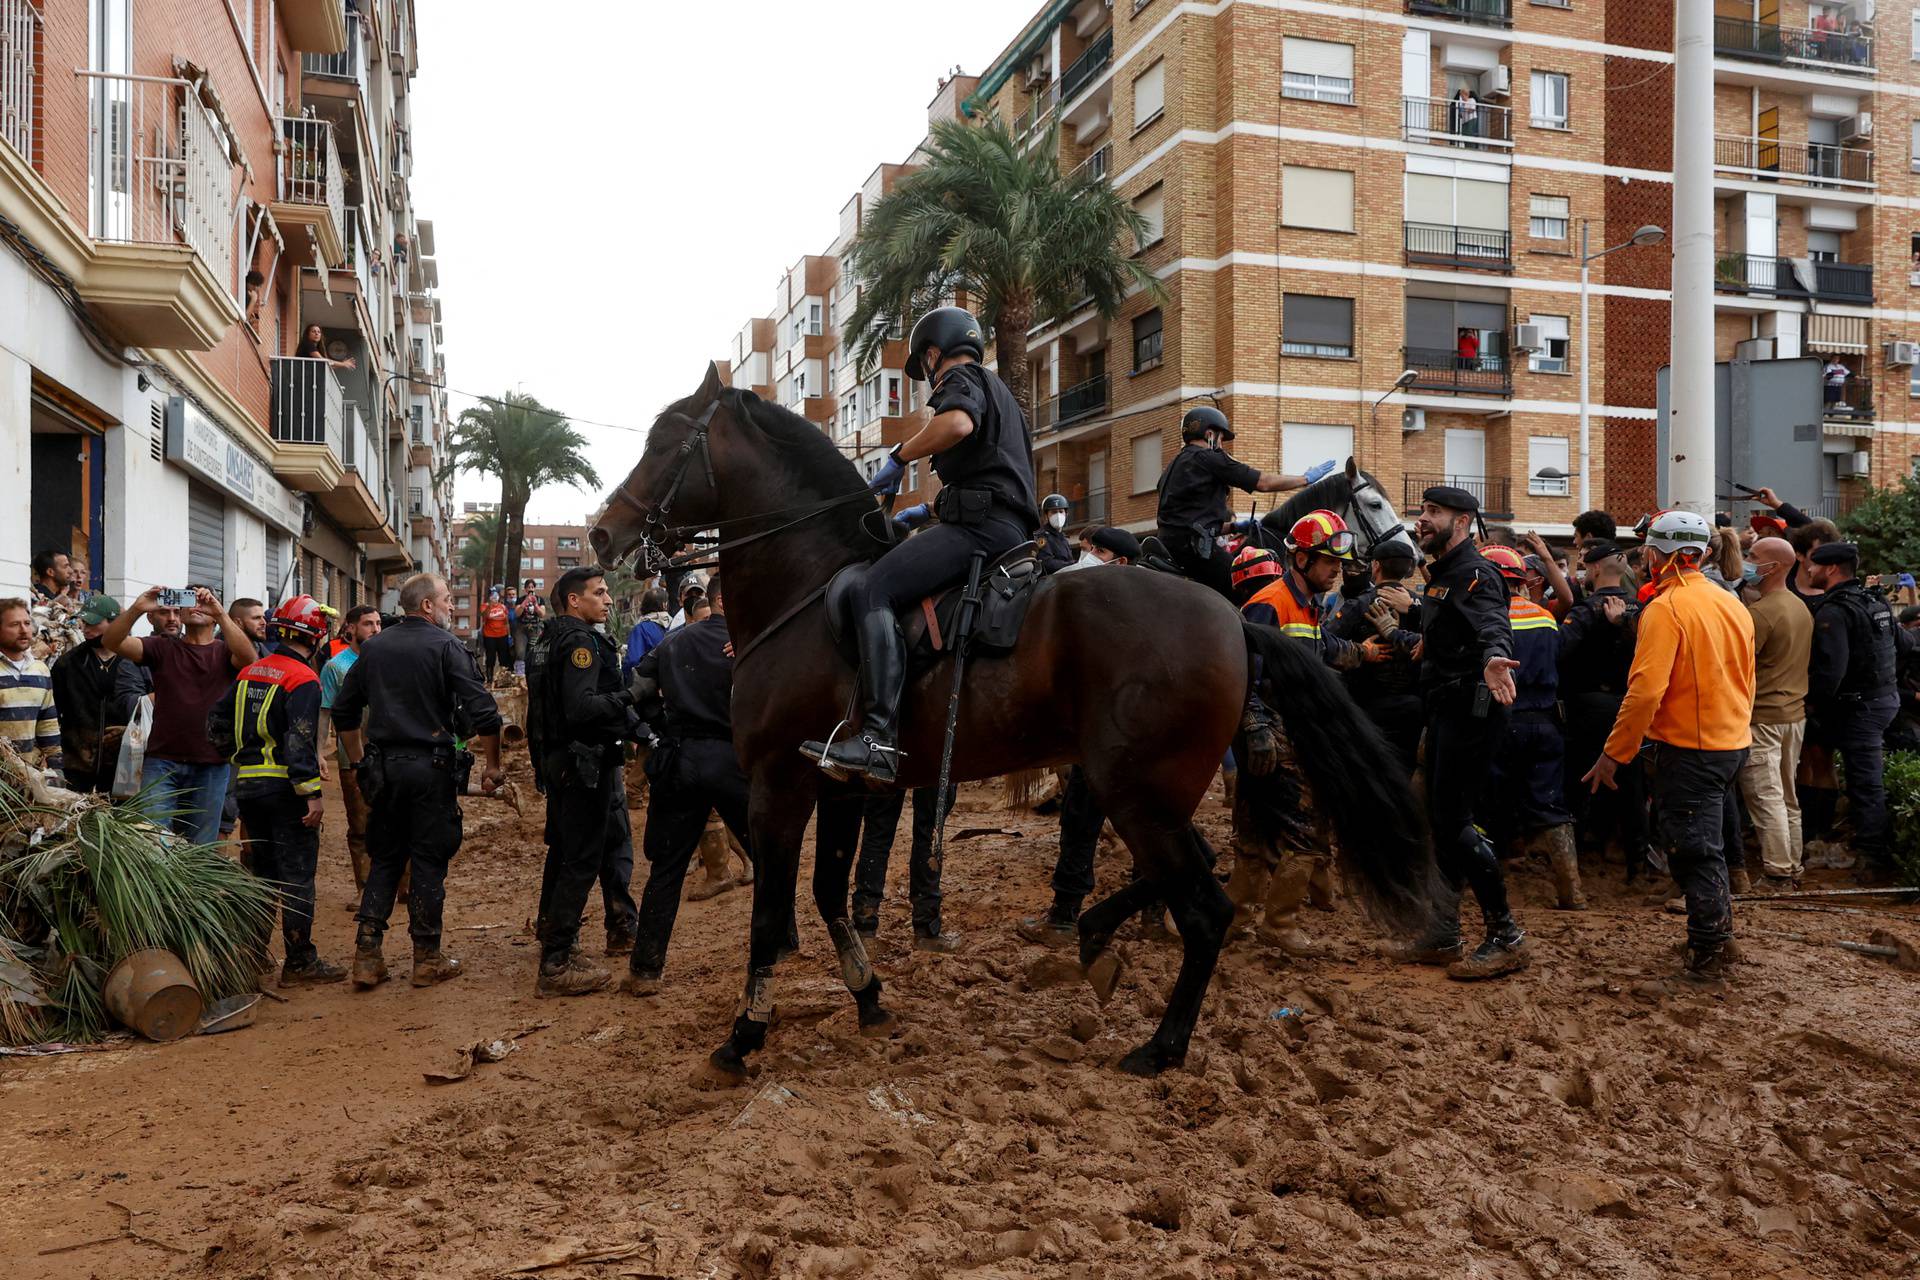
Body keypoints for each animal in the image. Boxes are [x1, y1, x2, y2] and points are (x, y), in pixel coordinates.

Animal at [591, 364, 1436, 1090]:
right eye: (1373, 504)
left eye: (664, 441)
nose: (601, 534)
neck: (808, 589)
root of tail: (1232, 620)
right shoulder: (835, 788)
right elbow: (829, 894)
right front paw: (868, 998)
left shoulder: (779, 785)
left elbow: (770, 916)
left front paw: (744, 1036)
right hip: (1149, 793)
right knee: (1189, 880)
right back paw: (1099, 947)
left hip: (1140, 794)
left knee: (1206, 908)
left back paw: (1159, 1044)